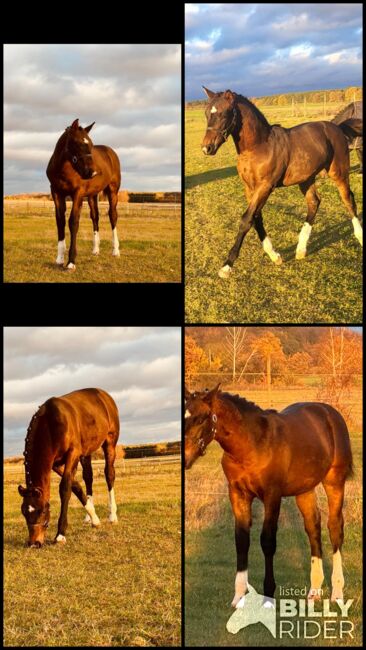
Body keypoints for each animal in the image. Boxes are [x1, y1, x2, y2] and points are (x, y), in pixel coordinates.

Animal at [18, 384, 119, 548]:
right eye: (24, 512)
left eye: (41, 511)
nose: (34, 543)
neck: (51, 425)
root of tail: (104, 394)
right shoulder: (56, 463)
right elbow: (76, 485)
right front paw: (94, 517)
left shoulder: (73, 454)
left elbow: (65, 488)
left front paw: (60, 534)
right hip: (86, 453)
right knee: (88, 477)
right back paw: (89, 517)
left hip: (110, 443)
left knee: (109, 474)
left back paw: (112, 515)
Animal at [45, 118, 121, 268]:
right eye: (77, 143)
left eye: (91, 145)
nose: (93, 172)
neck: (64, 170)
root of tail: (111, 152)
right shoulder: (57, 193)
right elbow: (60, 221)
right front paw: (59, 259)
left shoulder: (77, 194)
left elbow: (73, 222)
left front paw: (71, 262)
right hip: (92, 195)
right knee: (95, 216)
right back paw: (96, 249)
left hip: (113, 191)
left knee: (113, 215)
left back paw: (115, 250)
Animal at [184, 384, 354, 604]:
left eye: (202, 418)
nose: (185, 458)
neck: (252, 444)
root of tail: (330, 413)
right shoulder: (238, 494)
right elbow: (241, 540)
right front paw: (239, 596)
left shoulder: (272, 496)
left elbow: (267, 541)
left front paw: (268, 596)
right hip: (304, 490)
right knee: (313, 527)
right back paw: (314, 591)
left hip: (334, 482)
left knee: (334, 527)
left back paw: (337, 592)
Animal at [202, 86, 362, 276]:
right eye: (206, 113)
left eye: (223, 113)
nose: (207, 148)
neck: (258, 147)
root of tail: (337, 127)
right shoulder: (250, 188)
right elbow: (256, 218)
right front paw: (275, 256)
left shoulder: (265, 186)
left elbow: (246, 219)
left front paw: (227, 266)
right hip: (306, 179)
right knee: (314, 202)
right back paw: (300, 250)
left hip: (338, 173)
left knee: (348, 200)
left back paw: (359, 236)